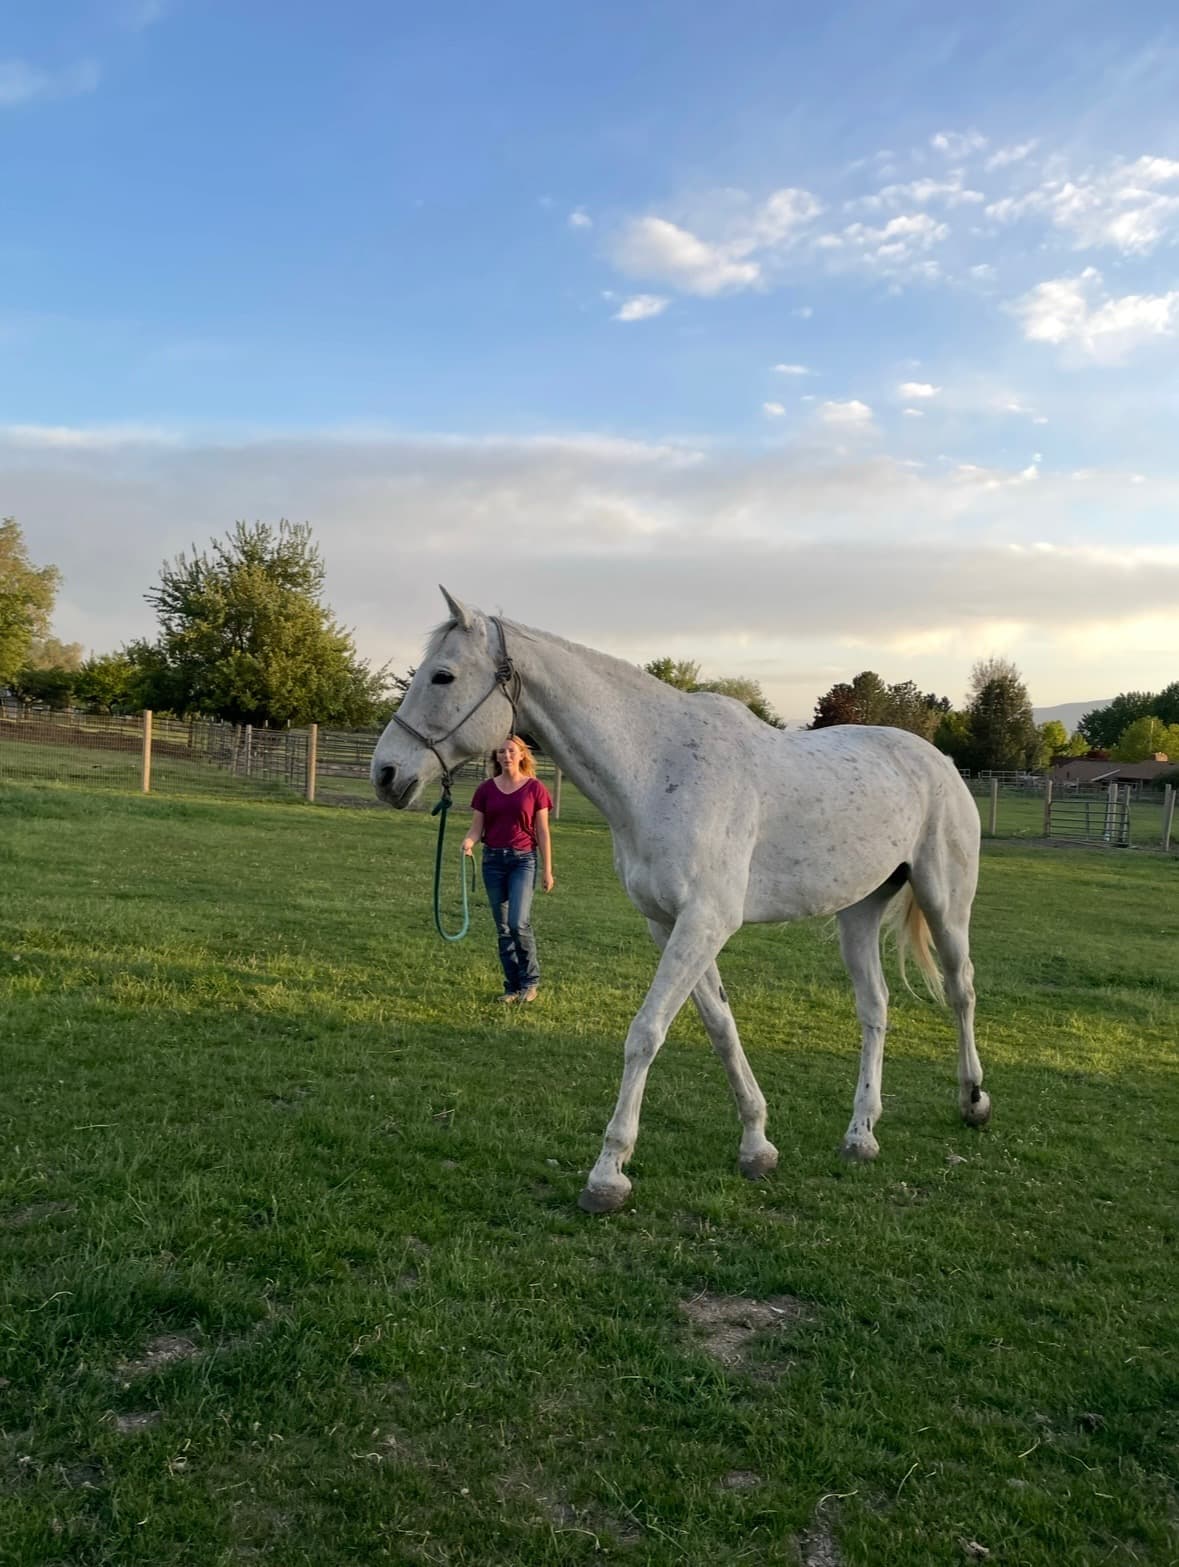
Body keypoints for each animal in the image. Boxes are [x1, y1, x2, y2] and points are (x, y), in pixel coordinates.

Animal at [371, 587, 989, 1214]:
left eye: (443, 676)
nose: (386, 773)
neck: (657, 767)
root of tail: (939, 762)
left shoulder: (704, 923)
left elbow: (646, 1033)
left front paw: (608, 1173)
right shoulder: (669, 925)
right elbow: (720, 1026)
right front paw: (756, 1144)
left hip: (945, 903)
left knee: (961, 991)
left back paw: (973, 1101)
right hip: (858, 912)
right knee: (875, 1008)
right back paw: (861, 1134)